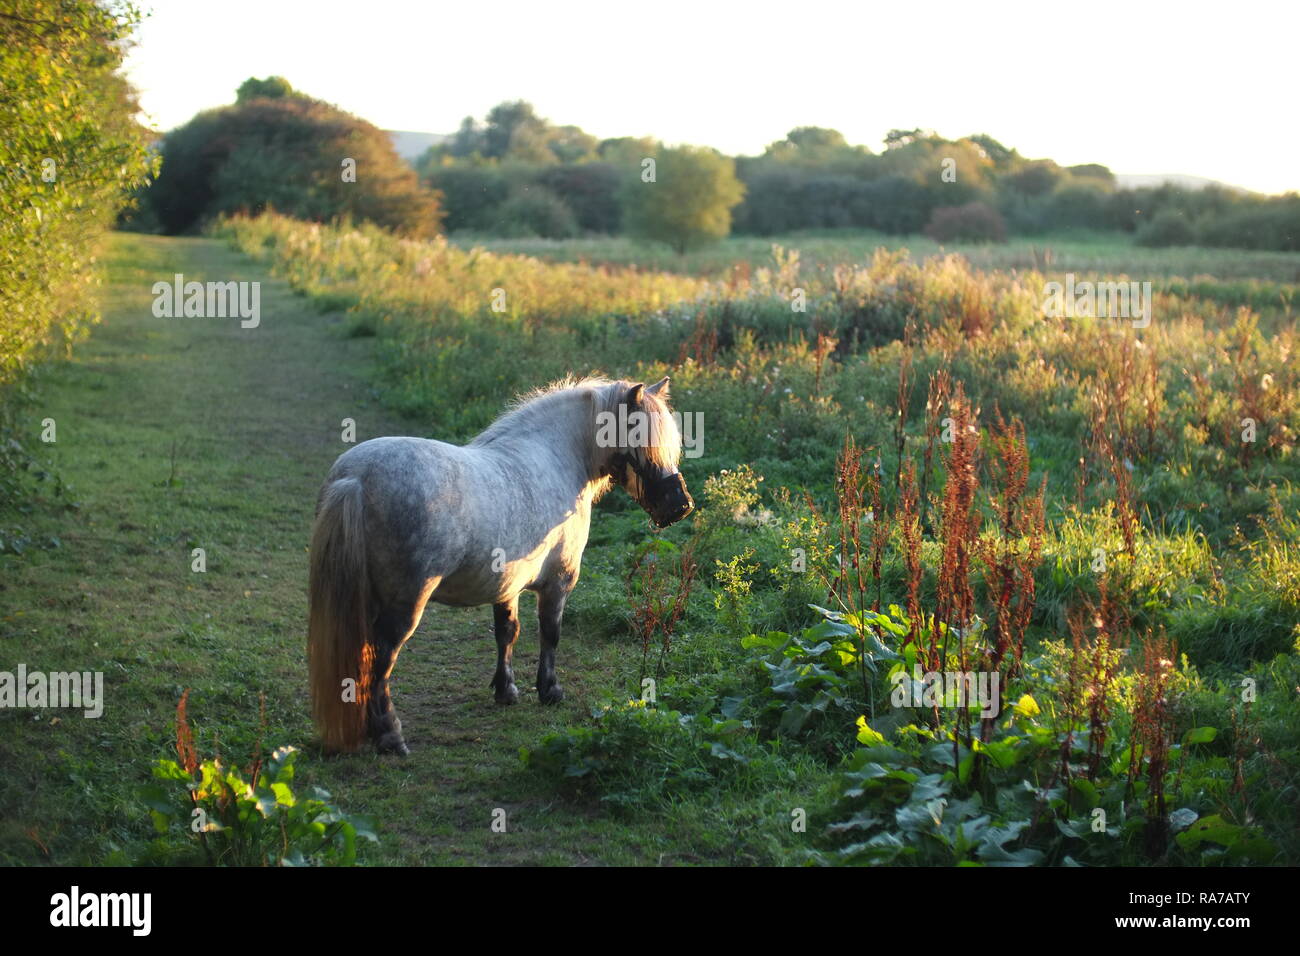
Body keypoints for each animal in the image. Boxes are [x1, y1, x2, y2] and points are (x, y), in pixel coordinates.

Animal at [306, 374, 691, 754]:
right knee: (383, 656)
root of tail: (356, 477)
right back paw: (390, 734)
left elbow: (507, 632)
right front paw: (550, 690)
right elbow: (550, 633)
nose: (680, 505)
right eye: (643, 438)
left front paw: (506, 690)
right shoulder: (558, 583)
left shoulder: (506, 585)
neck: (554, 458)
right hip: (405, 603)